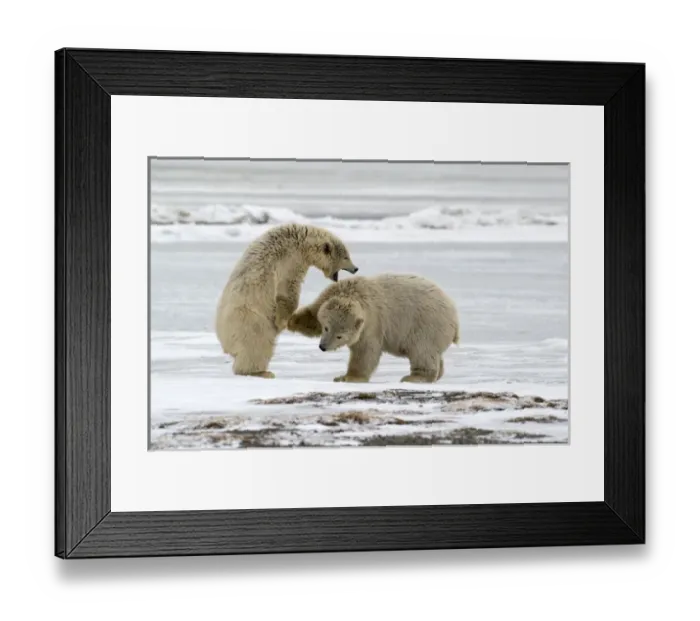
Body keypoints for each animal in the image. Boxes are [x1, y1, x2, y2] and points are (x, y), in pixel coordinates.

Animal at [215, 223, 358, 378]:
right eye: (346, 257)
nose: (356, 268)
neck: (300, 241)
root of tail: (225, 342)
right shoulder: (290, 260)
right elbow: (287, 289)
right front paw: (282, 322)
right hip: (249, 321)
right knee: (256, 345)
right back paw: (261, 372)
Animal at [287, 274, 459, 383]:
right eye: (326, 328)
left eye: (339, 336)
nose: (323, 347)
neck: (355, 292)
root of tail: (454, 314)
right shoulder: (330, 293)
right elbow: (312, 314)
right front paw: (291, 321)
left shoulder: (372, 322)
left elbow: (365, 351)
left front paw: (346, 377)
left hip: (426, 325)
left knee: (422, 351)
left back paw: (414, 377)